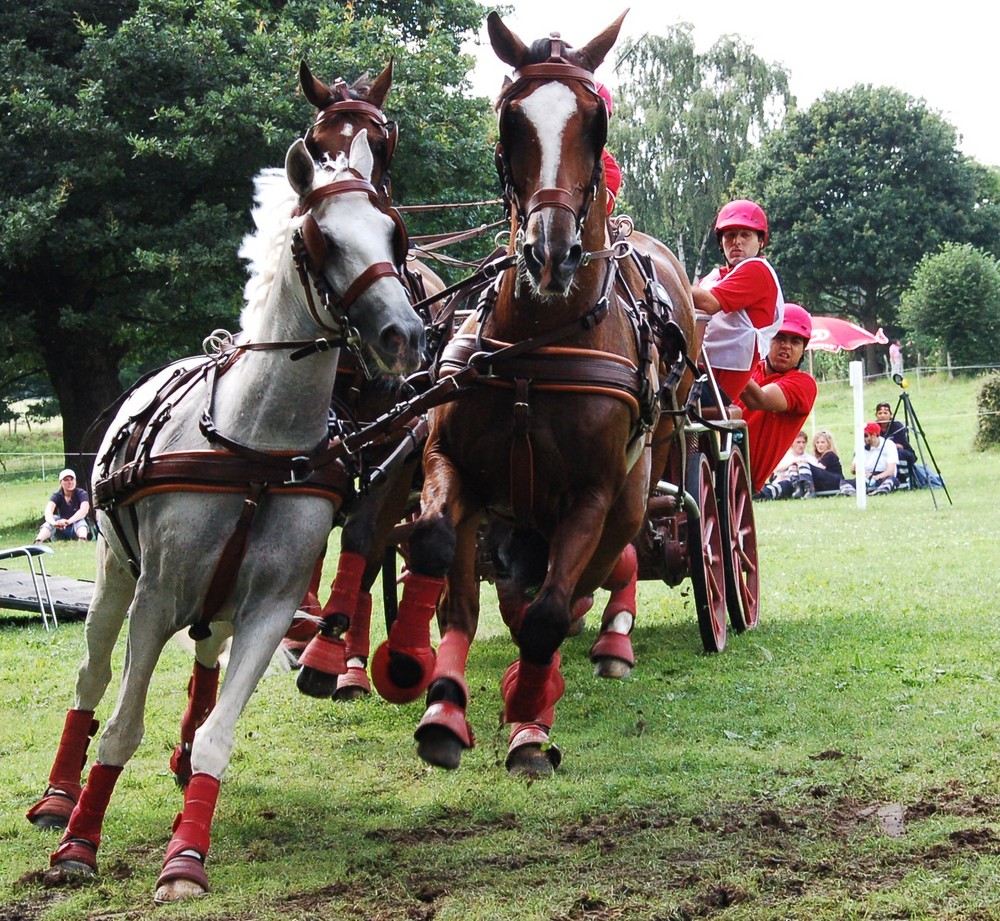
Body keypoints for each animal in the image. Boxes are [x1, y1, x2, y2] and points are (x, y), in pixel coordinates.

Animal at [23, 126, 422, 904]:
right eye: (321, 238)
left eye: (393, 230)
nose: (404, 334)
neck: (256, 447)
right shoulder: (155, 599)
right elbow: (120, 728)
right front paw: (79, 845)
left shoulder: (270, 608)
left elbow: (219, 732)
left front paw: (186, 853)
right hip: (115, 580)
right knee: (90, 679)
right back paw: (58, 797)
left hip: (219, 603)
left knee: (205, 663)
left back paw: (181, 760)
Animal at [368, 12, 696, 776]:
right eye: (510, 119)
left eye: (596, 123)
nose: (550, 254)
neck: (536, 351)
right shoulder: (451, 466)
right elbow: (439, 561)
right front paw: (435, 696)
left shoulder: (592, 495)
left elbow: (549, 611)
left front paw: (527, 719)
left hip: (636, 488)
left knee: (605, 568)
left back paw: (601, 647)